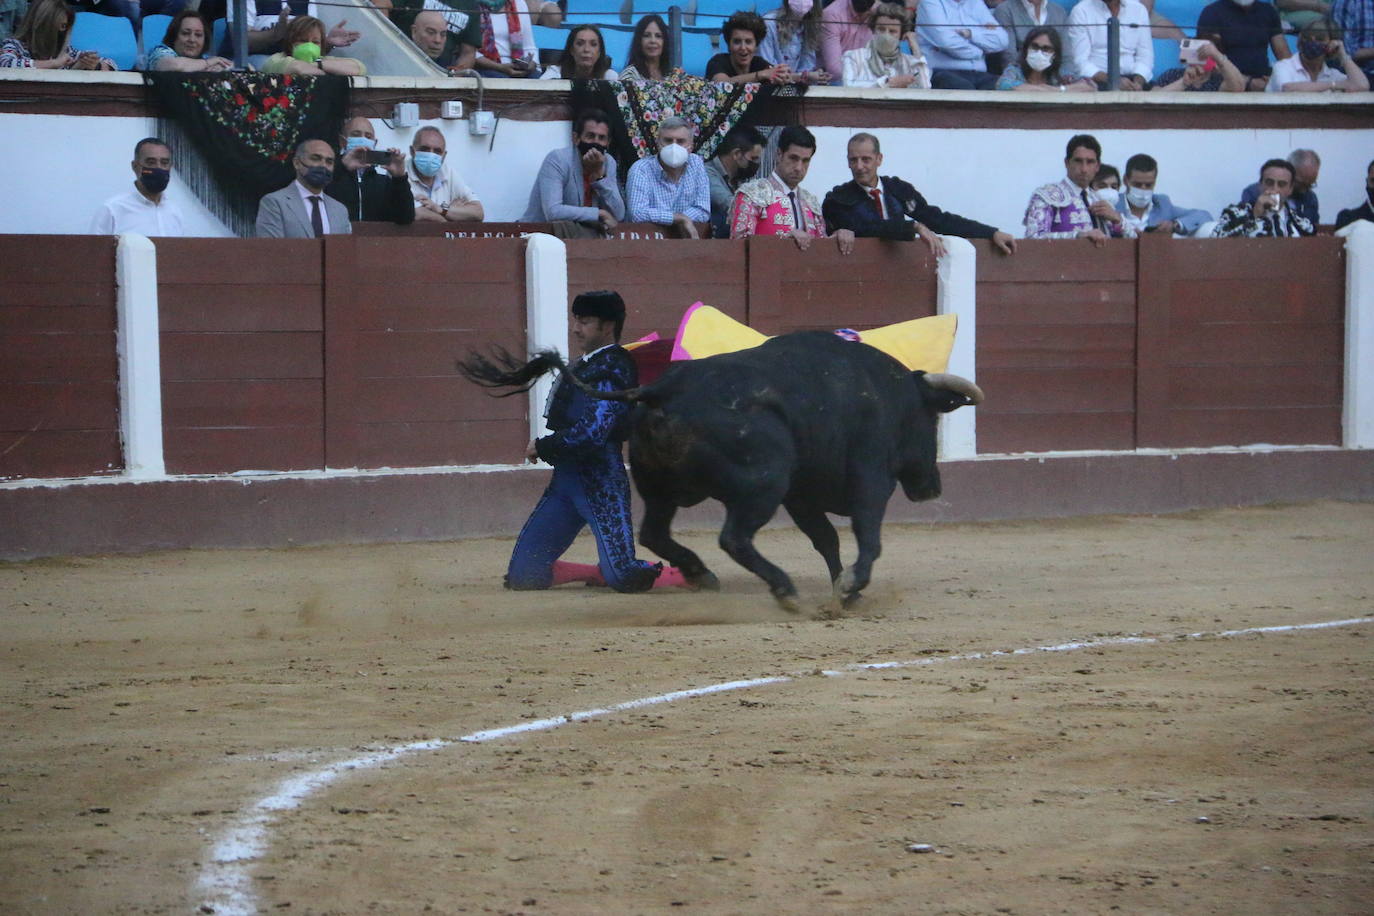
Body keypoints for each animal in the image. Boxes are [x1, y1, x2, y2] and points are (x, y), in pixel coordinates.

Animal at [467, 329, 983, 609]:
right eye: (932, 419)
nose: (931, 487)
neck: (889, 393)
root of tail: (660, 390)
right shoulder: (870, 482)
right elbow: (867, 540)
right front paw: (853, 587)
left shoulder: (800, 496)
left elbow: (828, 541)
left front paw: (843, 591)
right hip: (762, 483)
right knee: (733, 537)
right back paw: (782, 589)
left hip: (661, 487)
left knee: (654, 532)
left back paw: (700, 574)